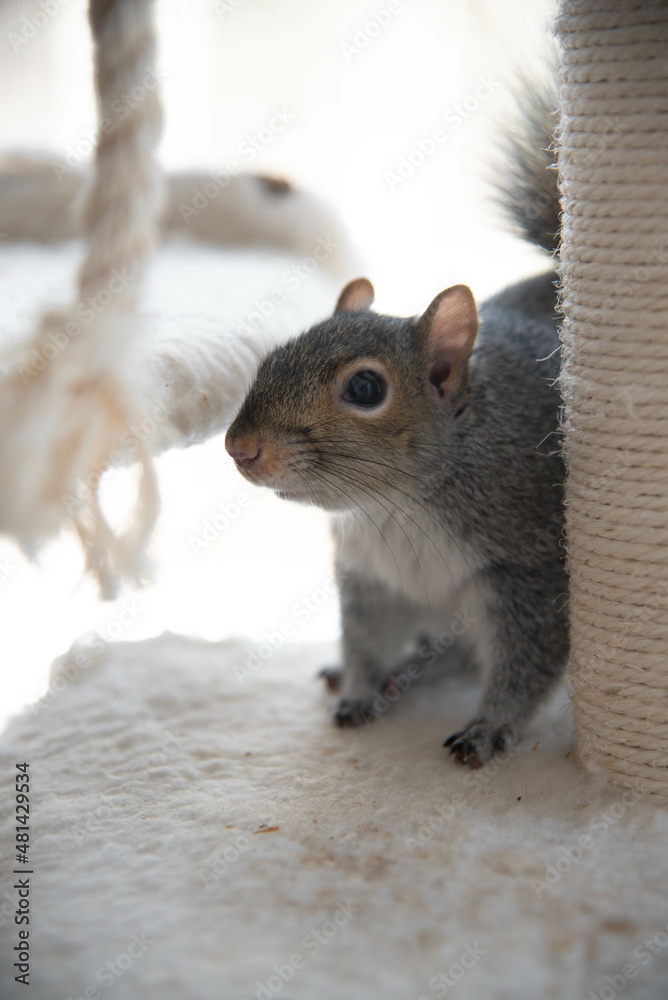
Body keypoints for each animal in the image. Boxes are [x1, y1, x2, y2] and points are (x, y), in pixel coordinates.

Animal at [224, 83, 568, 768]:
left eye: (365, 389)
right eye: (273, 356)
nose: (239, 447)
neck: (396, 504)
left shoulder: (530, 569)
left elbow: (526, 663)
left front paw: (490, 726)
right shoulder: (371, 579)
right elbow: (364, 640)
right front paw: (360, 687)